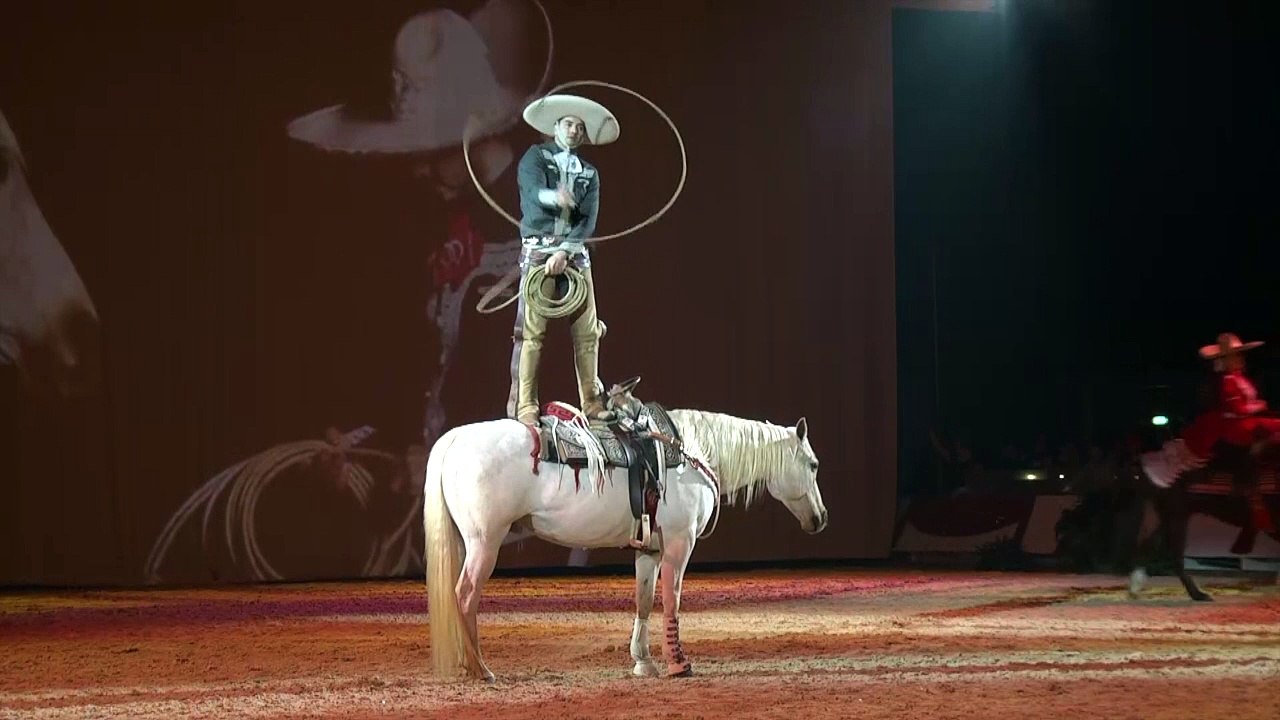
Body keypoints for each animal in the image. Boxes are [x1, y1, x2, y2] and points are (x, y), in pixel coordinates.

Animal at [423, 407, 827, 681]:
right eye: (812, 464)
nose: (820, 518)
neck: (692, 453)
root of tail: (456, 438)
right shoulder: (679, 544)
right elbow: (673, 599)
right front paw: (678, 662)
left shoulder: (649, 550)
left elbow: (644, 600)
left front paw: (643, 661)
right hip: (484, 542)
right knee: (465, 595)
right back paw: (479, 668)